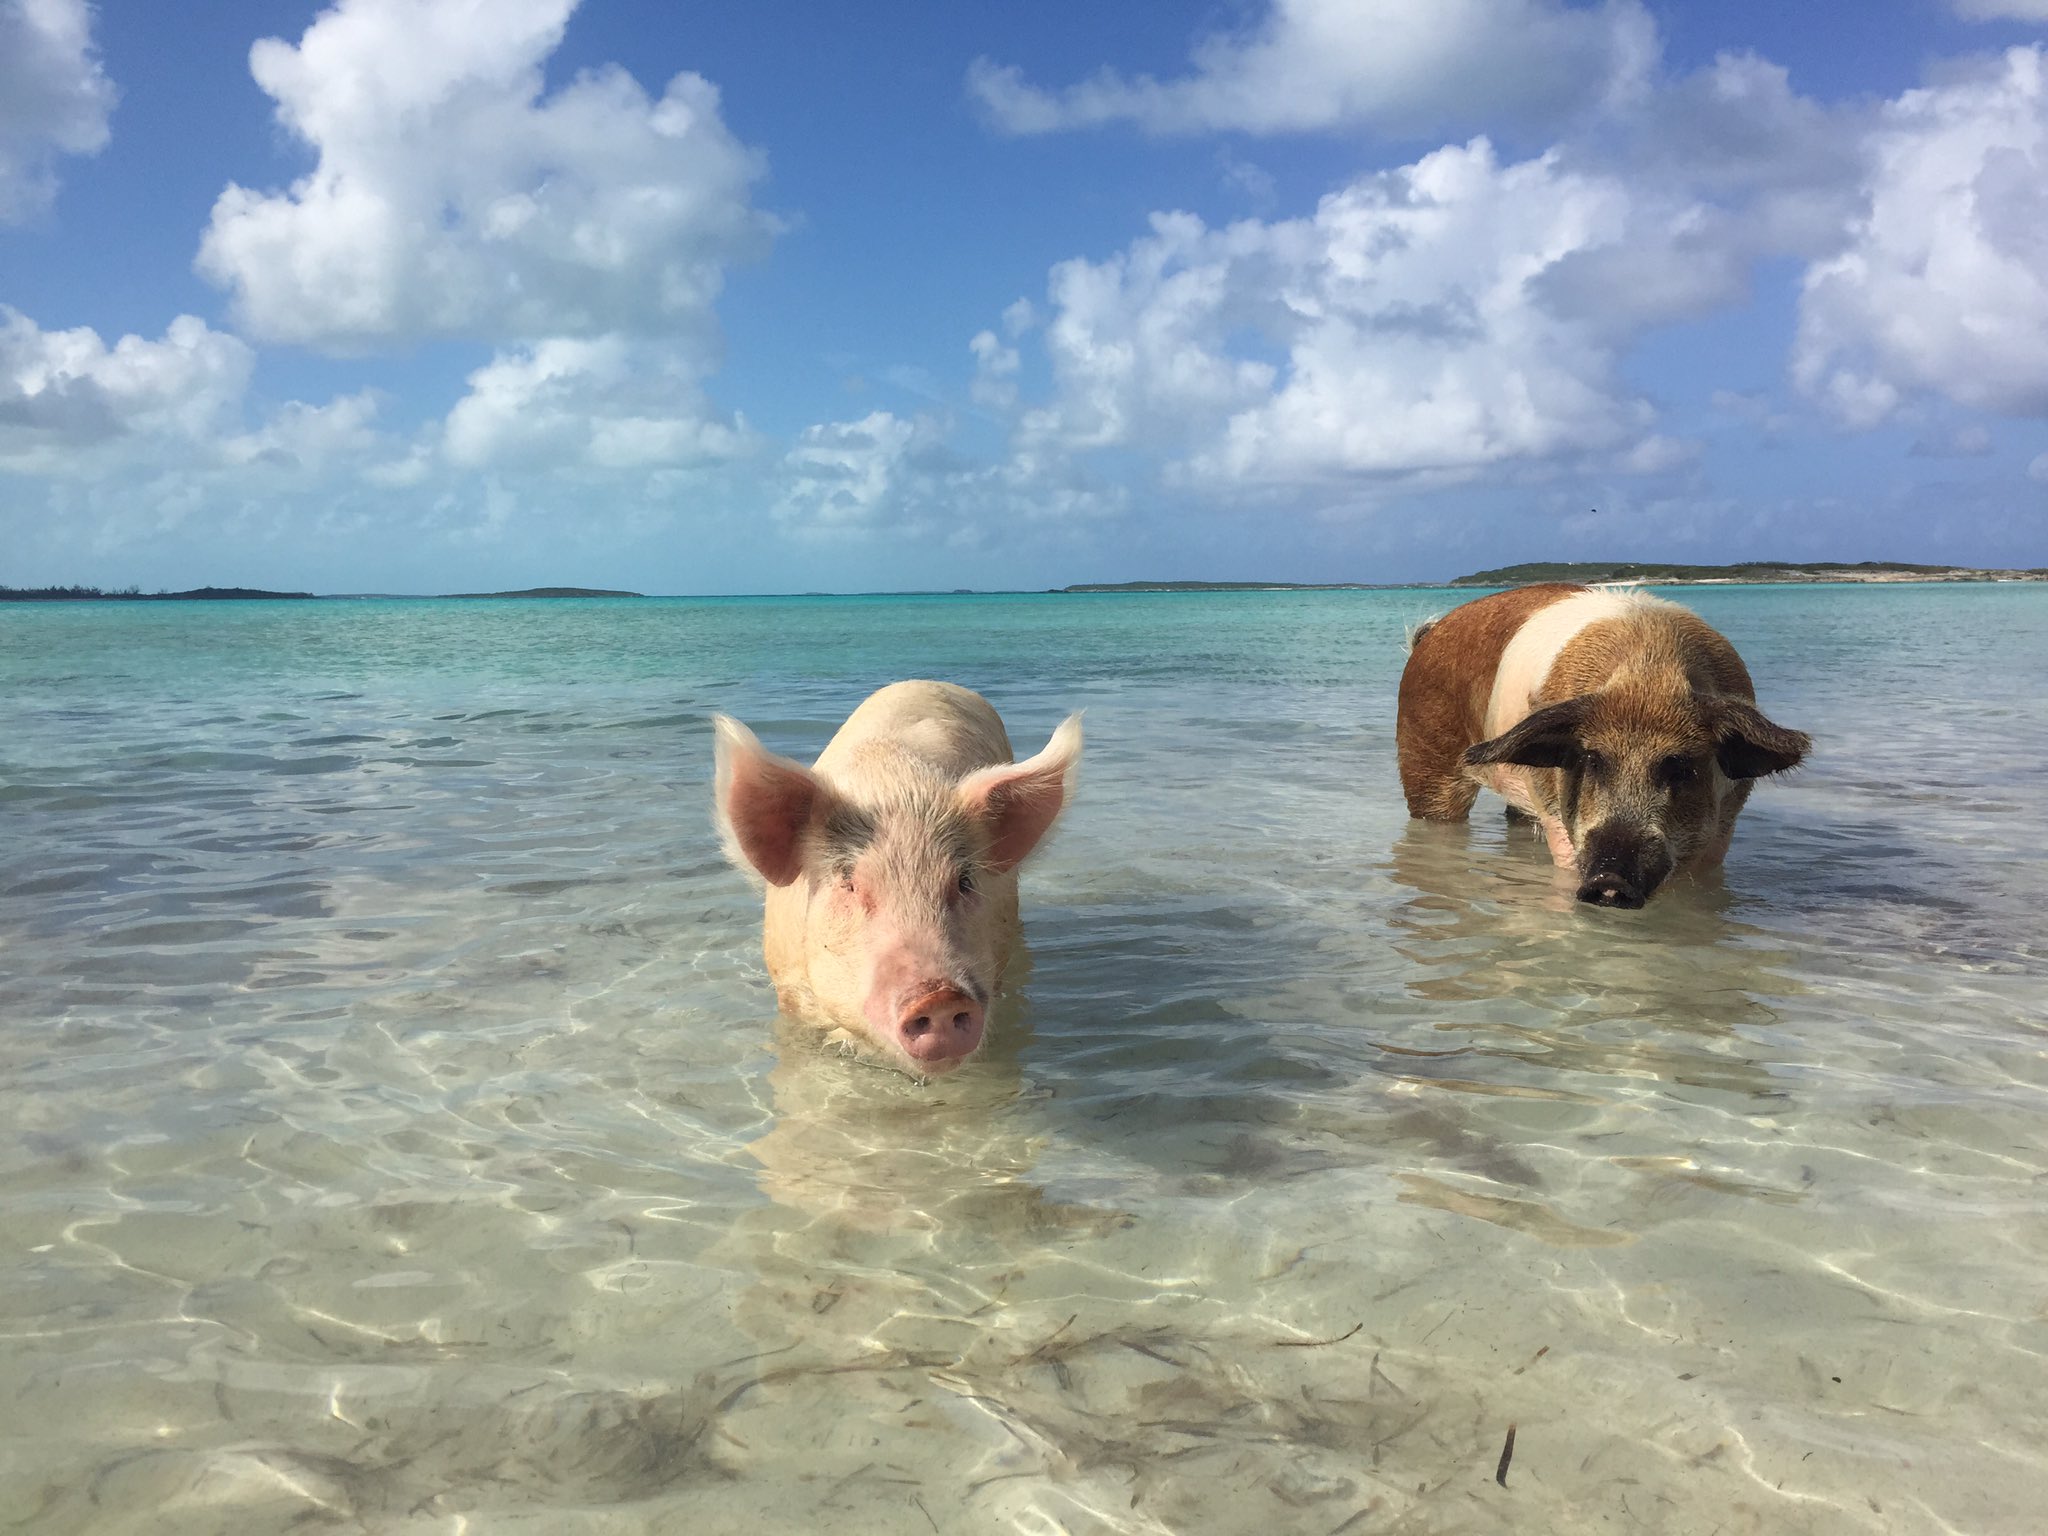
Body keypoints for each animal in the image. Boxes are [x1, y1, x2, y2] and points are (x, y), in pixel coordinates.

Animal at [712, 684, 1081, 1081]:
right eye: (849, 883)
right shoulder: (789, 990)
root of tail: (925, 680)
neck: (896, 785)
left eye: (964, 881)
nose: (939, 996)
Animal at [1392, 581, 1810, 909]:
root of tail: (1426, 639)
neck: (1646, 675)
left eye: (1681, 767)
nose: (1610, 879)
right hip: (1423, 755)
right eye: (1592, 759)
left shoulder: (1726, 824)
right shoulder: (1557, 812)